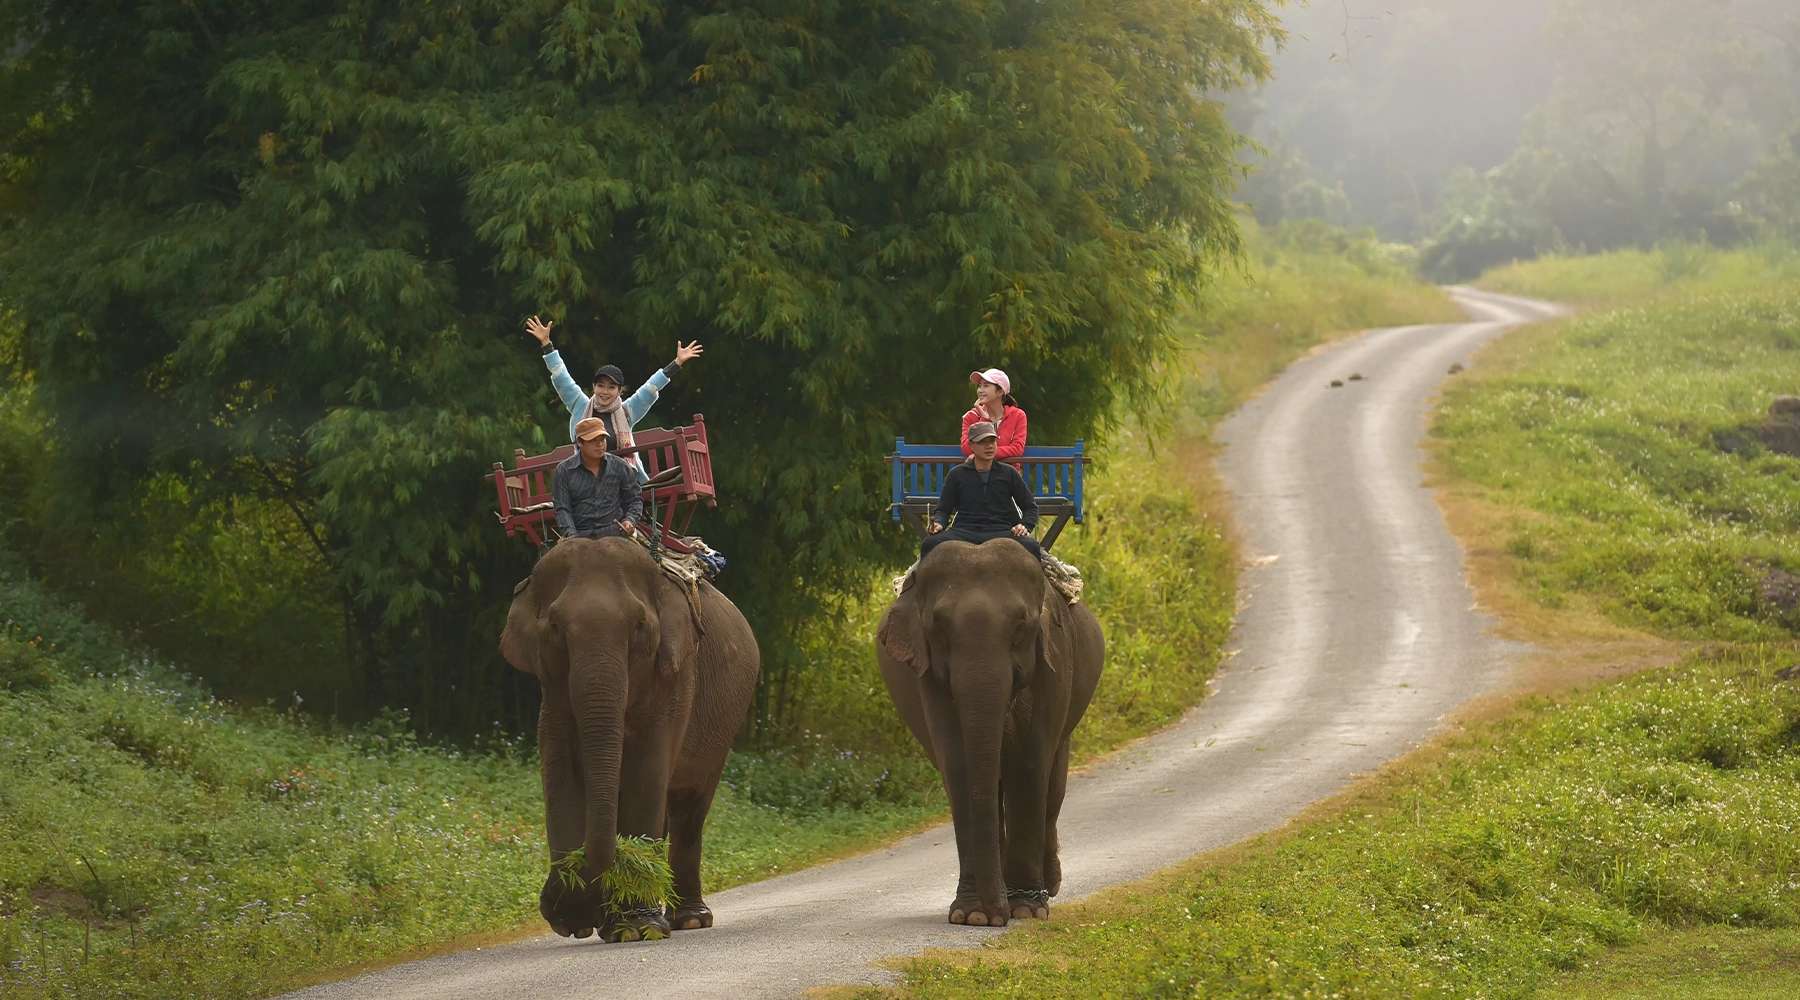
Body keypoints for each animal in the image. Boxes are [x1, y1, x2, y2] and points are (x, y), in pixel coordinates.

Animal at [501, 536, 759, 942]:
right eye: (555, 626)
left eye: (639, 625)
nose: (561, 905)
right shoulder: (551, 689)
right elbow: (560, 772)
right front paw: (576, 919)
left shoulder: (676, 673)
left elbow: (646, 770)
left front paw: (637, 929)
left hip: (727, 721)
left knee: (689, 808)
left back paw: (688, 921)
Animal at [876, 539, 1104, 927]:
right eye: (938, 627)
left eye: (1021, 626)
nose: (999, 916)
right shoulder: (928, 677)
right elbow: (958, 764)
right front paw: (973, 916)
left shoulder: (1054, 664)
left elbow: (1029, 763)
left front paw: (1026, 908)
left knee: (1053, 784)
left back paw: (1048, 886)